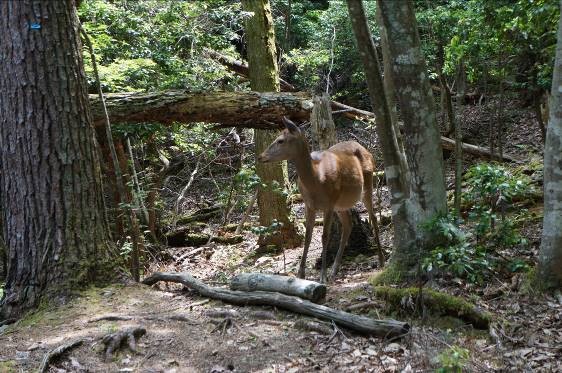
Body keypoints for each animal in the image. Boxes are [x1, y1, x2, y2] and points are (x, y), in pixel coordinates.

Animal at [258, 116, 380, 282]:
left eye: (280, 140)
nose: (260, 156)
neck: (316, 180)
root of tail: (367, 150)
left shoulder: (328, 204)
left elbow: (324, 236)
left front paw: (322, 277)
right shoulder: (310, 205)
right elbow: (308, 237)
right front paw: (301, 274)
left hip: (367, 183)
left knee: (373, 217)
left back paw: (381, 260)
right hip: (340, 203)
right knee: (348, 224)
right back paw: (334, 269)